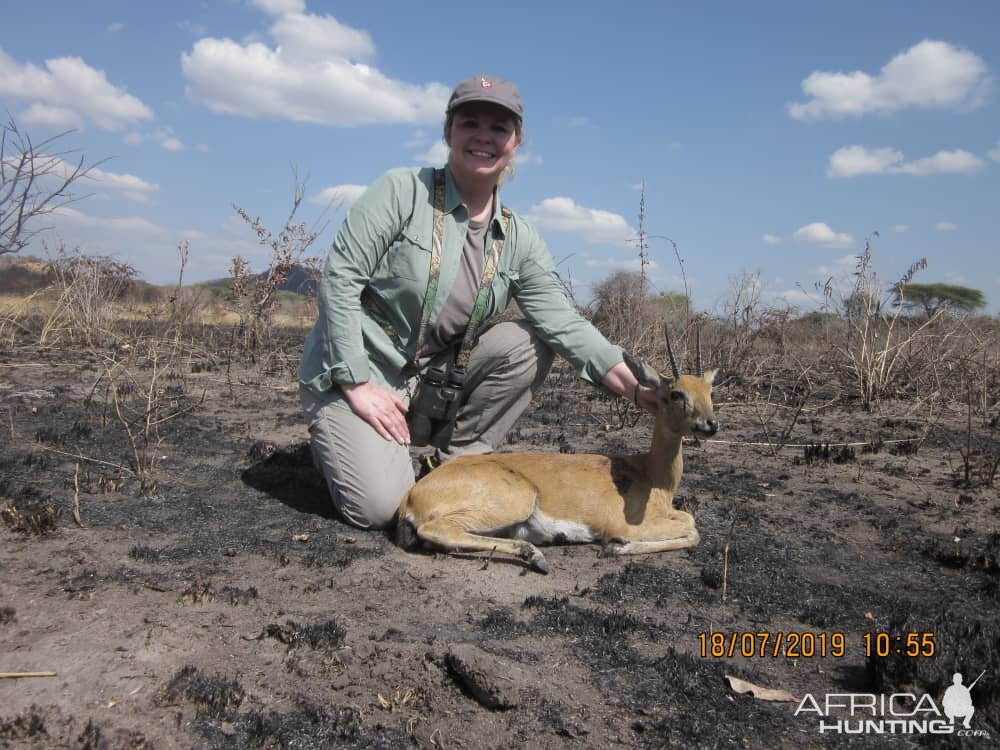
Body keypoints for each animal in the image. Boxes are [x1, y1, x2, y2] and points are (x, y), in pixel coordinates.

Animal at [394, 330, 716, 576]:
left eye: (710, 391)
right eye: (676, 393)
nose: (709, 425)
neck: (651, 475)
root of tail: (411, 495)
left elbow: (690, 523)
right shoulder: (626, 523)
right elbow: (692, 529)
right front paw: (616, 547)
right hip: (515, 501)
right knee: (437, 529)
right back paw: (535, 556)